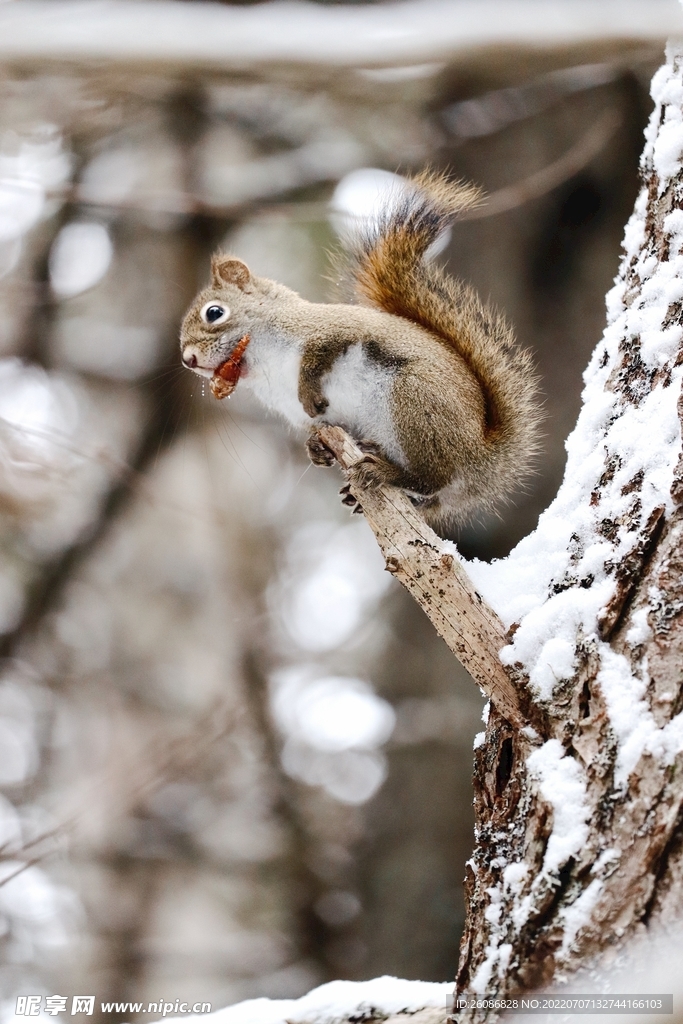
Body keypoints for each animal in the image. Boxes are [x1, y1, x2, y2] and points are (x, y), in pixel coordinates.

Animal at [179, 171, 540, 532]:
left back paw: (383, 471)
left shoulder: (332, 329)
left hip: (416, 400)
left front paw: (308, 391)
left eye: (214, 312)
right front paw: (315, 449)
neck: (264, 367)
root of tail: (483, 459)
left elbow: (319, 356)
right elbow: (316, 430)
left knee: (431, 477)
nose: (188, 360)